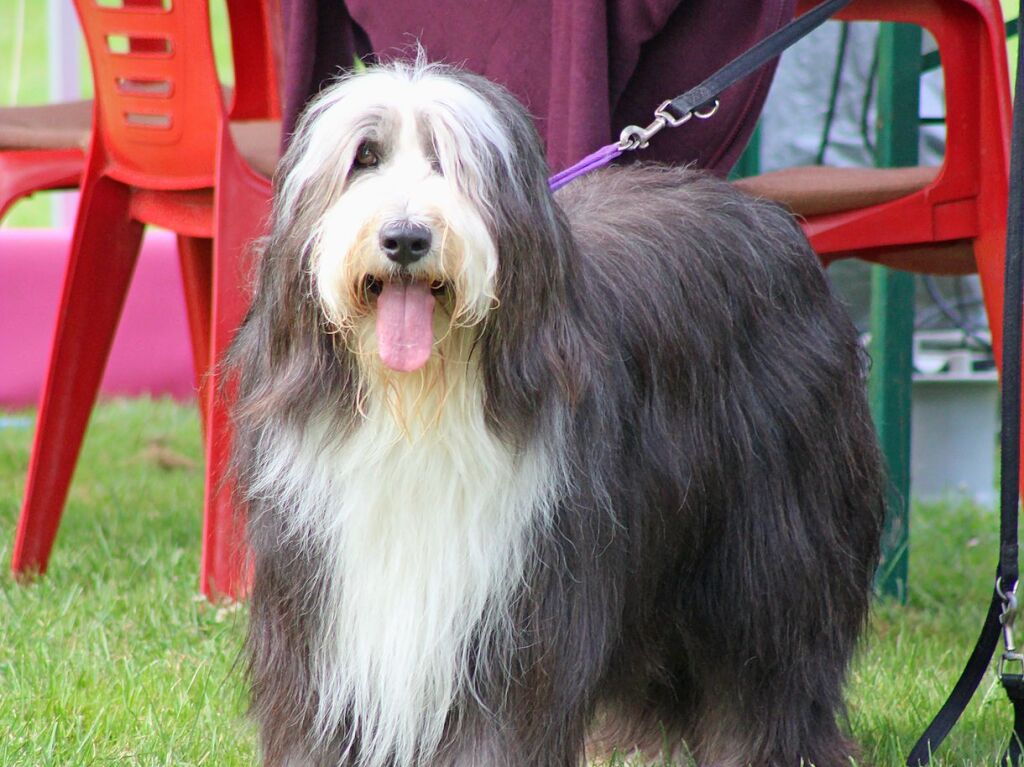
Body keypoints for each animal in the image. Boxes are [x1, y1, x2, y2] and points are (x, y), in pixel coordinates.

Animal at [228, 61, 884, 765]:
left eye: (451, 163)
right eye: (364, 158)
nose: (405, 238)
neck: (422, 403)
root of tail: (770, 217)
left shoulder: (515, 611)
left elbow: (498, 726)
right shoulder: (321, 604)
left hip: (772, 534)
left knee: (769, 659)